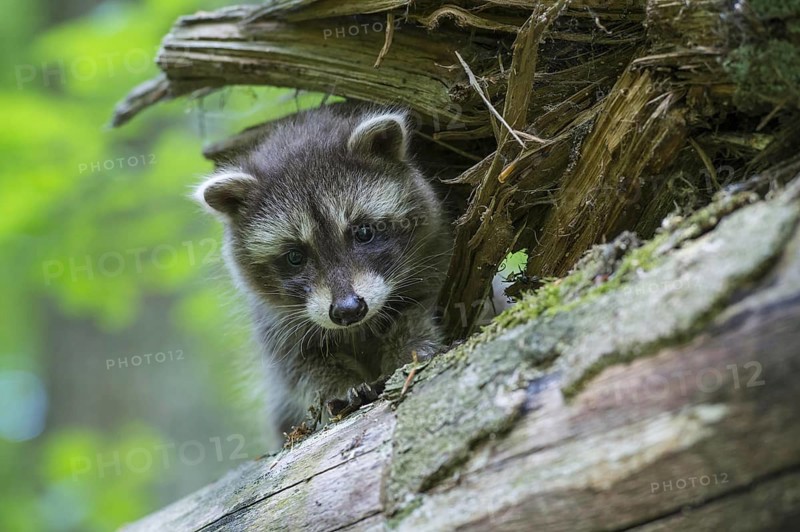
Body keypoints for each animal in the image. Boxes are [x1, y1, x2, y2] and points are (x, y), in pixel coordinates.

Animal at [194, 104, 452, 437]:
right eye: (295, 257)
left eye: (364, 232)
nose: (348, 310)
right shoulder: (273, 323)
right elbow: (299, 365)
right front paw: (341, 383)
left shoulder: (436, 257)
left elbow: (418, 308)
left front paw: (410, 346)